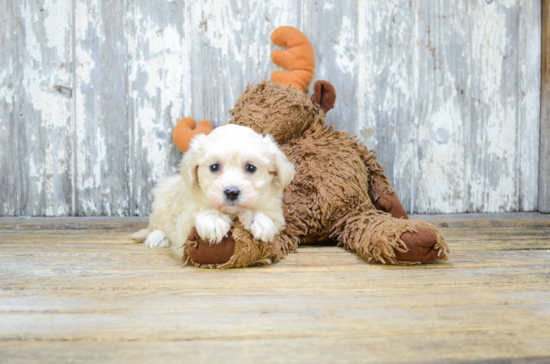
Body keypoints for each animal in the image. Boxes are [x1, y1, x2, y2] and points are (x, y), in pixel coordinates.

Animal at [131, 124, 296, 250]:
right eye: (214, 167)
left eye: (250, 168)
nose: (232, 192)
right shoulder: (184, 221)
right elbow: (199, 212)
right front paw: (213, 219)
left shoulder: (276, 214)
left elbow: (263, 214)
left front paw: (259, 221)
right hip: (161, 202)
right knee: (156, 225)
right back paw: (156, 237)